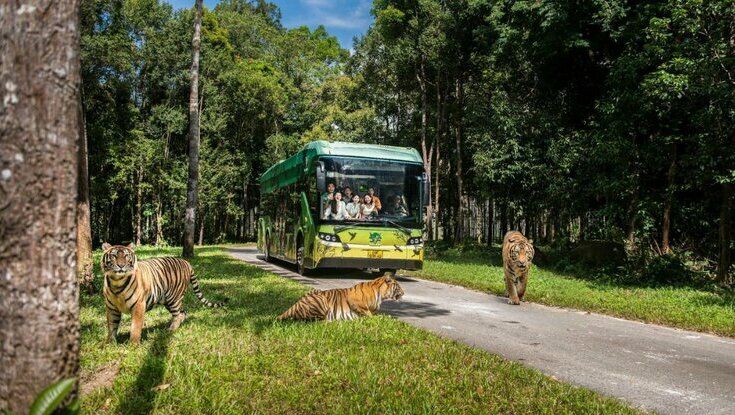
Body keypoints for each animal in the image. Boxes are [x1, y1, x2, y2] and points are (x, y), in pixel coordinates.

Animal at [276, 274, 406, 324]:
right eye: (398, 286)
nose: (404, 292)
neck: (381, 295)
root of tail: (294, 305)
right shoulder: (355, 302)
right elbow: (371, 315)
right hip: (321, 301)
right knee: (314, 321)